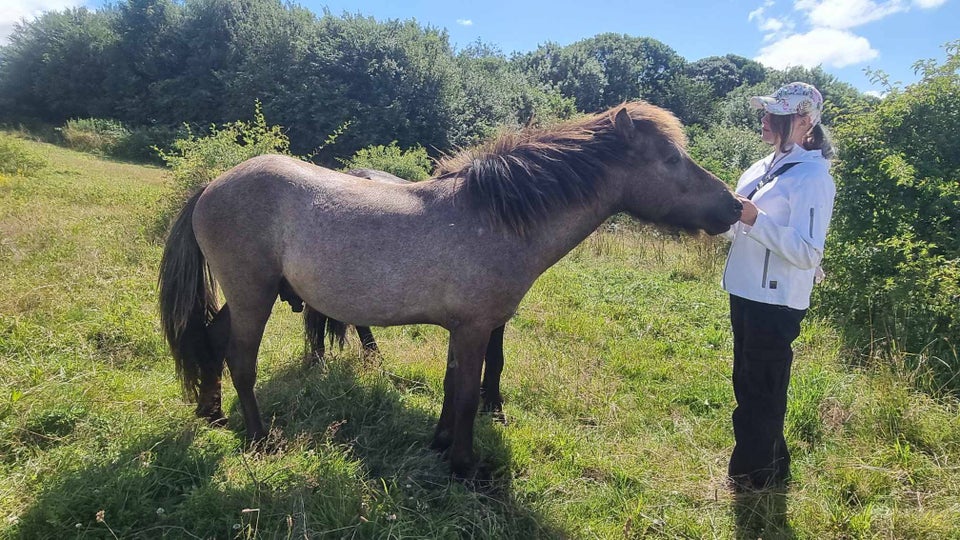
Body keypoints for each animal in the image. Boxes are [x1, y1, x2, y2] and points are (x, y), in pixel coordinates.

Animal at [159, 101, 744, 476]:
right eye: (670, 159)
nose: (734, 206)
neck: (495, 216)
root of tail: (210, 187)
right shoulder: (476, 327)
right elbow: (466, 393)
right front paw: (465, 465)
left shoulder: (464, 327)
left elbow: (450, 383)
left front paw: (440, 445)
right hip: (253, 295)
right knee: (240, 359)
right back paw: (260, 439)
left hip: (245, 296)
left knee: (210, 342)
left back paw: (212, 414)